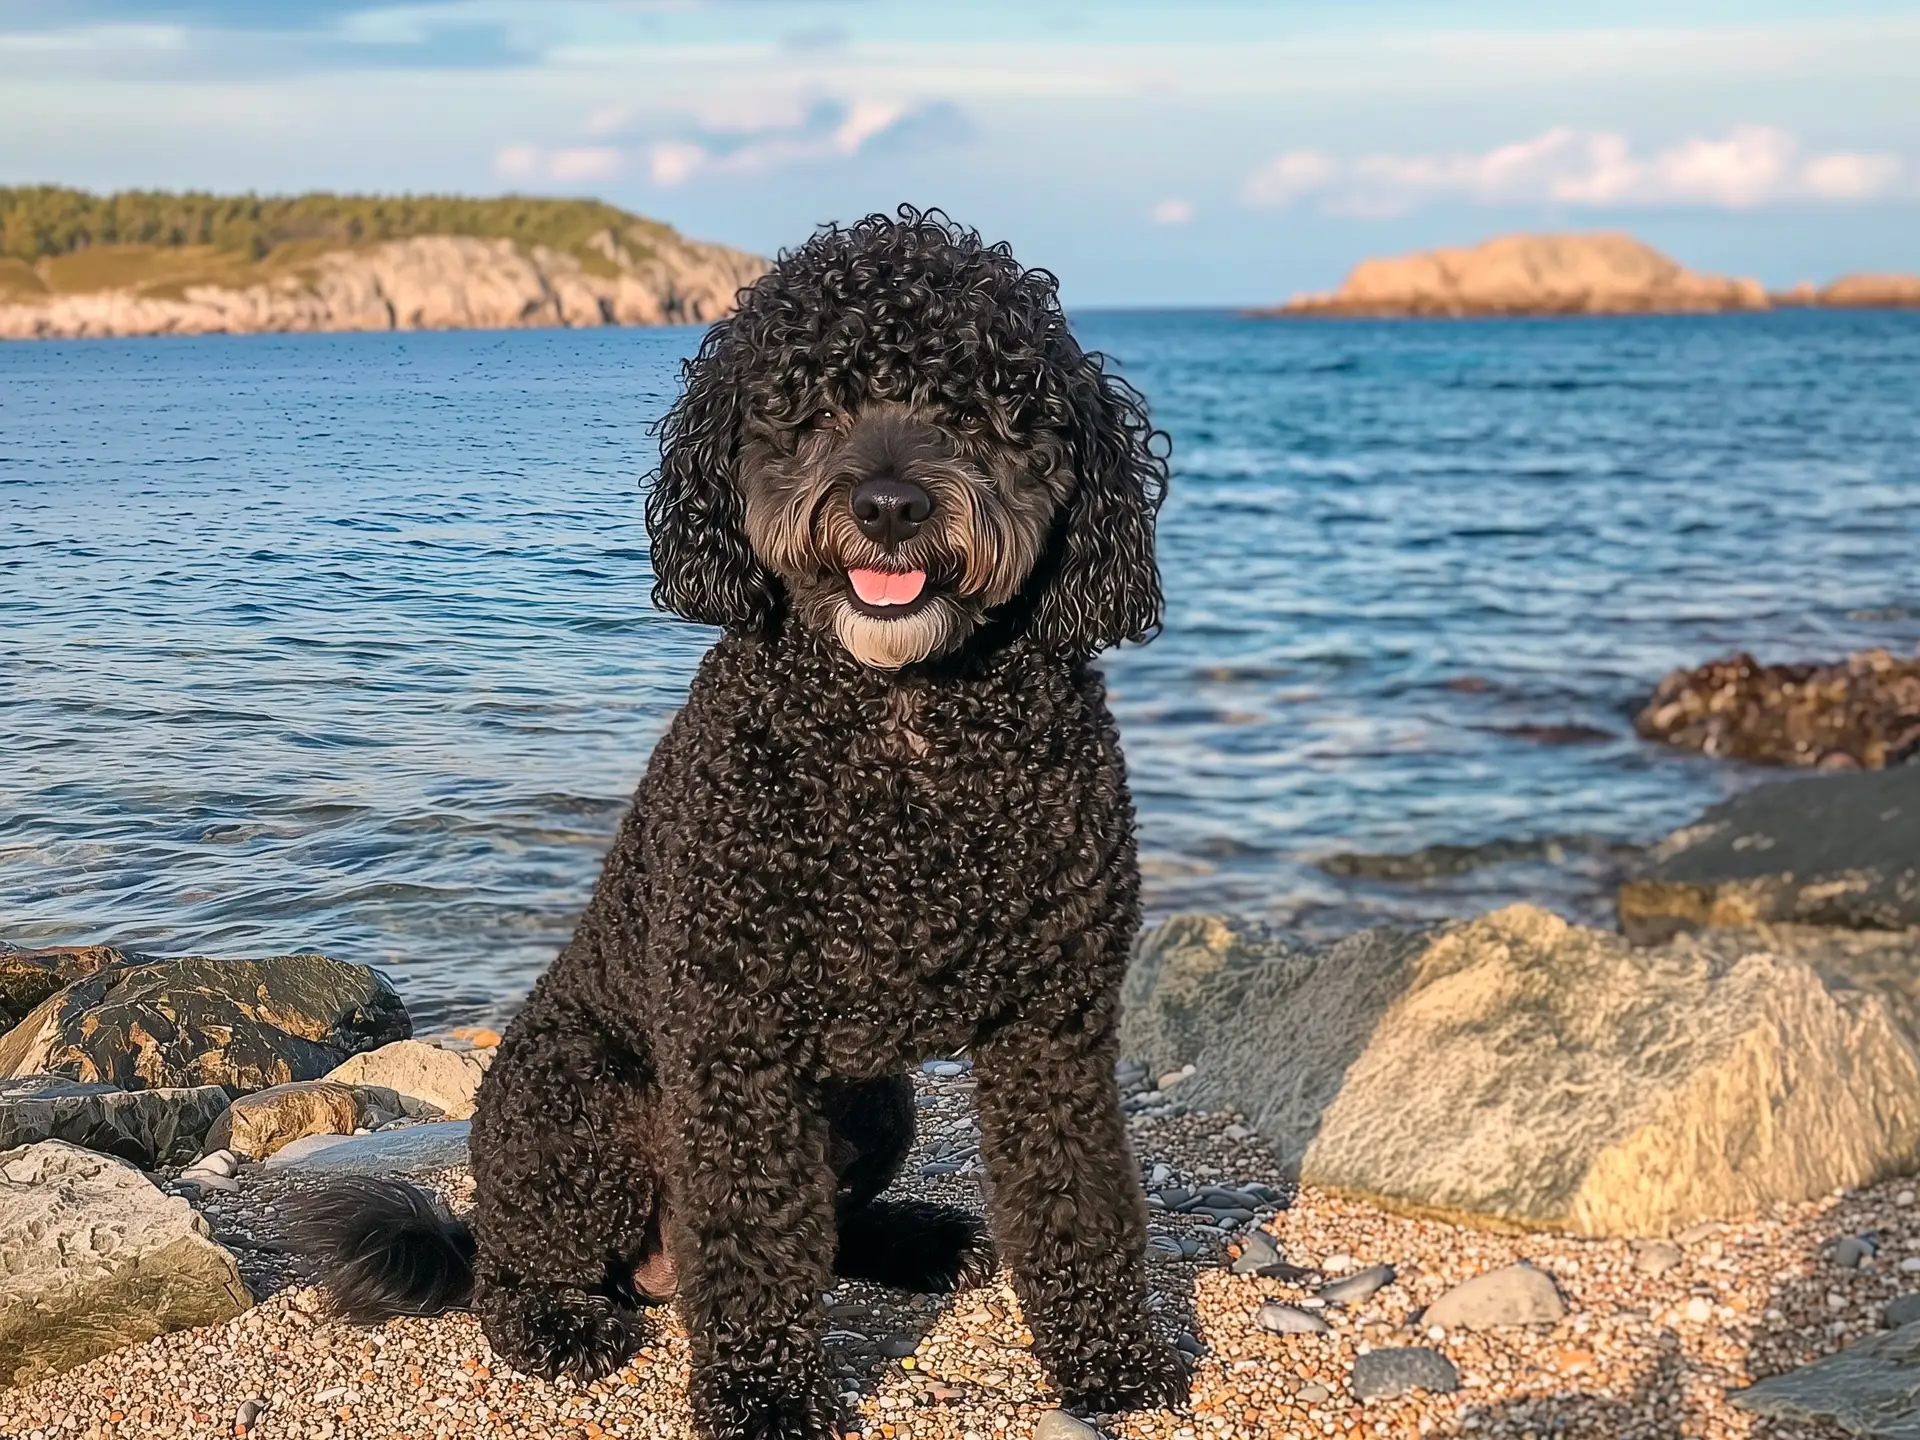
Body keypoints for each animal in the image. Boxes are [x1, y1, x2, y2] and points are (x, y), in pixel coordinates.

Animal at [299, 208, 1182, 1436]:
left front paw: (1113, 1362)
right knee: (518, 1272)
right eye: (809, 409)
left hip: (878, 1103)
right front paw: (765, 1397)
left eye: (979, 410)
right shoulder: (735, 1041)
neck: (902, 728)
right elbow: (757, 1240)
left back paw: (916, 1240)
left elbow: (1079, 1202)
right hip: (583, 1110)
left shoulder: (1053, 1026)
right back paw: (557, 1322)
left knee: (830, 1229)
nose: (891, 505)